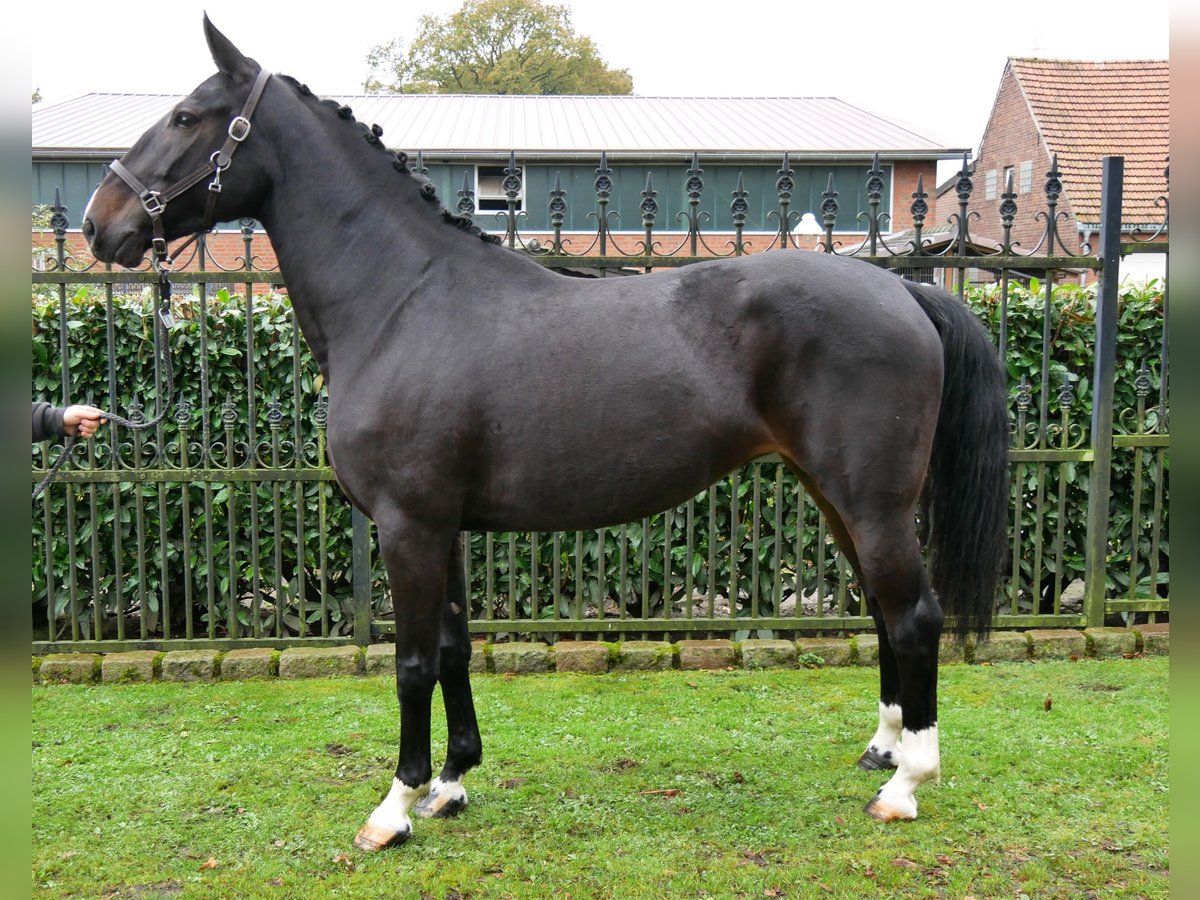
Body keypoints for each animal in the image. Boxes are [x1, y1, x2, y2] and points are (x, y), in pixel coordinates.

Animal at [79, 17, 1008, 854]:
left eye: (187, 116)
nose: (99, 223)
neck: (402, 301)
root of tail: (903, 290)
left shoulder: (408, 526)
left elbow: (412, 664)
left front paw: (394, 807)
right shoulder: (442, 528)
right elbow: (454, 650)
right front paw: (451, 784)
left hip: (870, 501)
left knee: (914, 616)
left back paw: (907, 784)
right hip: (835, 497)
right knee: (883, 612)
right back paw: (882, 749)